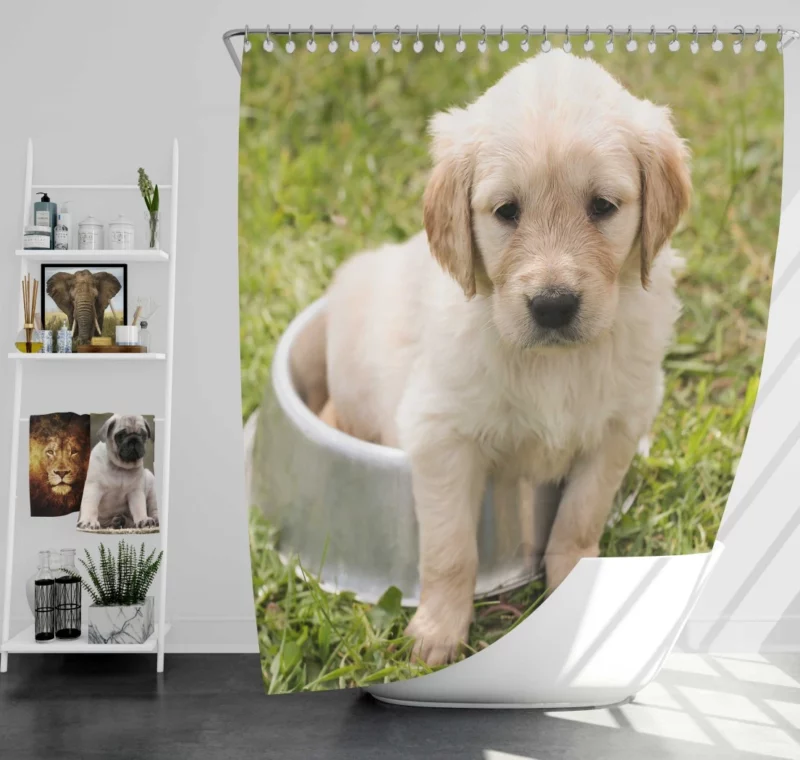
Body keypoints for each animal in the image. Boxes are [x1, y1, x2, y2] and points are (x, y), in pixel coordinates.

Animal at [318, 50, 688, 664]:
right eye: (507, 211)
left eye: (603, 206)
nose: (554, 306)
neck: (556, 362)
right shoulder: (440, 433)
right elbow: (451, 550)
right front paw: (438, 631)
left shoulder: (617, 427)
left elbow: (578, 520)